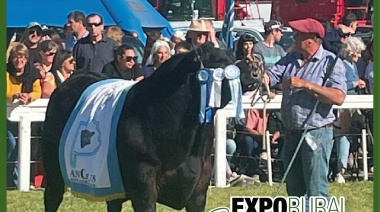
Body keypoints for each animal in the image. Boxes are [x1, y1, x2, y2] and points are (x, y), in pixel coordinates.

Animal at [42, 42, 258, 211]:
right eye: (219, 62)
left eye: (233, 56)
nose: (253, 72)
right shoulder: (144, 182)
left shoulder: (199, 187)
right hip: (53, 170)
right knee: (52, 198)